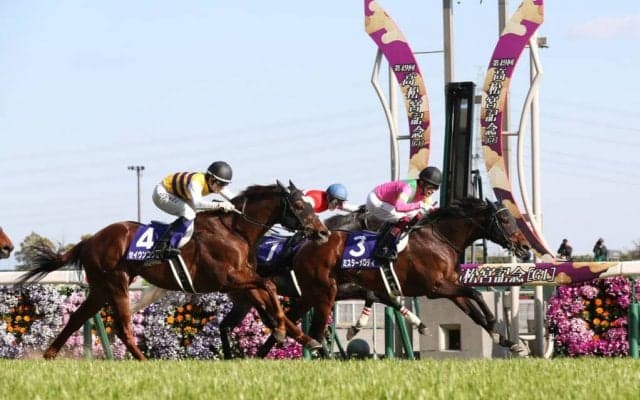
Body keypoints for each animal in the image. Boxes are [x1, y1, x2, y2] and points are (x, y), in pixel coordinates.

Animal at [17, 181, 330, 360]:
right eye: (299, 204)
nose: (323, 232)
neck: (235, 230)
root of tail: (90, 240)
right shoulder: (229, 279)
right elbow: (271, 287)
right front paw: (283, 332)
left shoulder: (242, 281)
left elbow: (271, 298)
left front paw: (305, 339)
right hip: (116, 283)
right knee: (122, 326)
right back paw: (144, 361)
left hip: (101, 288)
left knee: (77, 318)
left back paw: (49, 355)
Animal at [278, 197, 531, 357]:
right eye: (506, 220)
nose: (525, 247)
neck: (440, 239)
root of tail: (303, 246)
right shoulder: (436, 287)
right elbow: (475, 294)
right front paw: (494, 325)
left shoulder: (450, 288)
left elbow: (474, 312)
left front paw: (509, 342)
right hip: (326, 287)